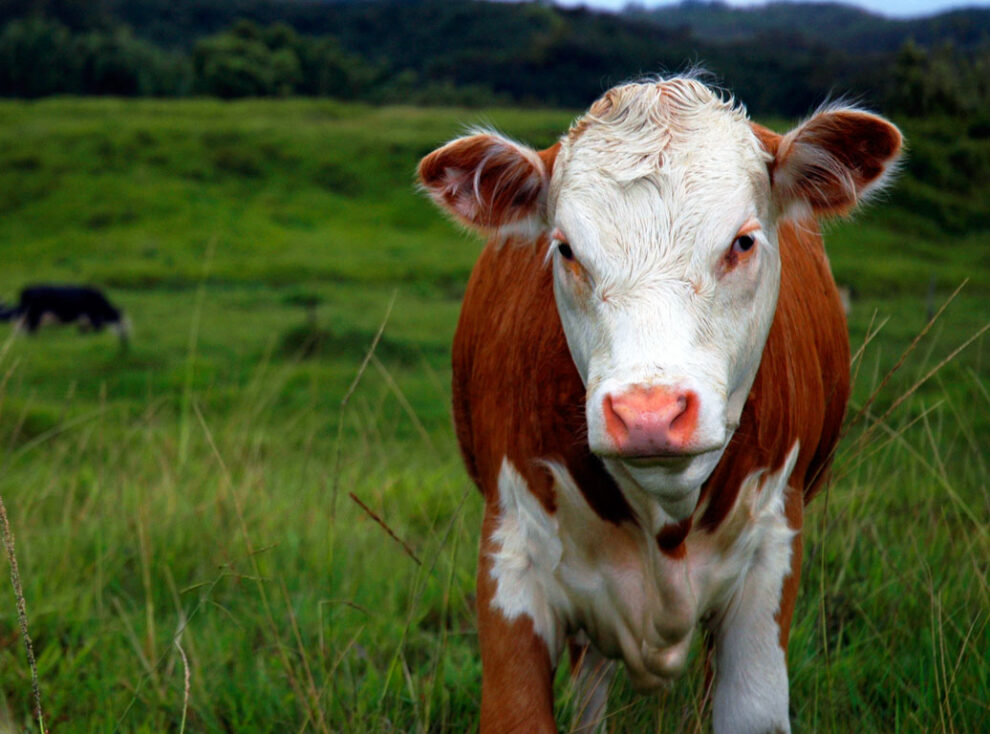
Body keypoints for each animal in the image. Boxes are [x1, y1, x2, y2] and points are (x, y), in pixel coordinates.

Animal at [0, 284, 130, 348]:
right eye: (123, 322)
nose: (125, 338)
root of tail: (26, 290)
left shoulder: (85, 319)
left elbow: (85, 330)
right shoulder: (91, 317)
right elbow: (95, 329)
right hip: (34, 316)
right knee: (32, 330)